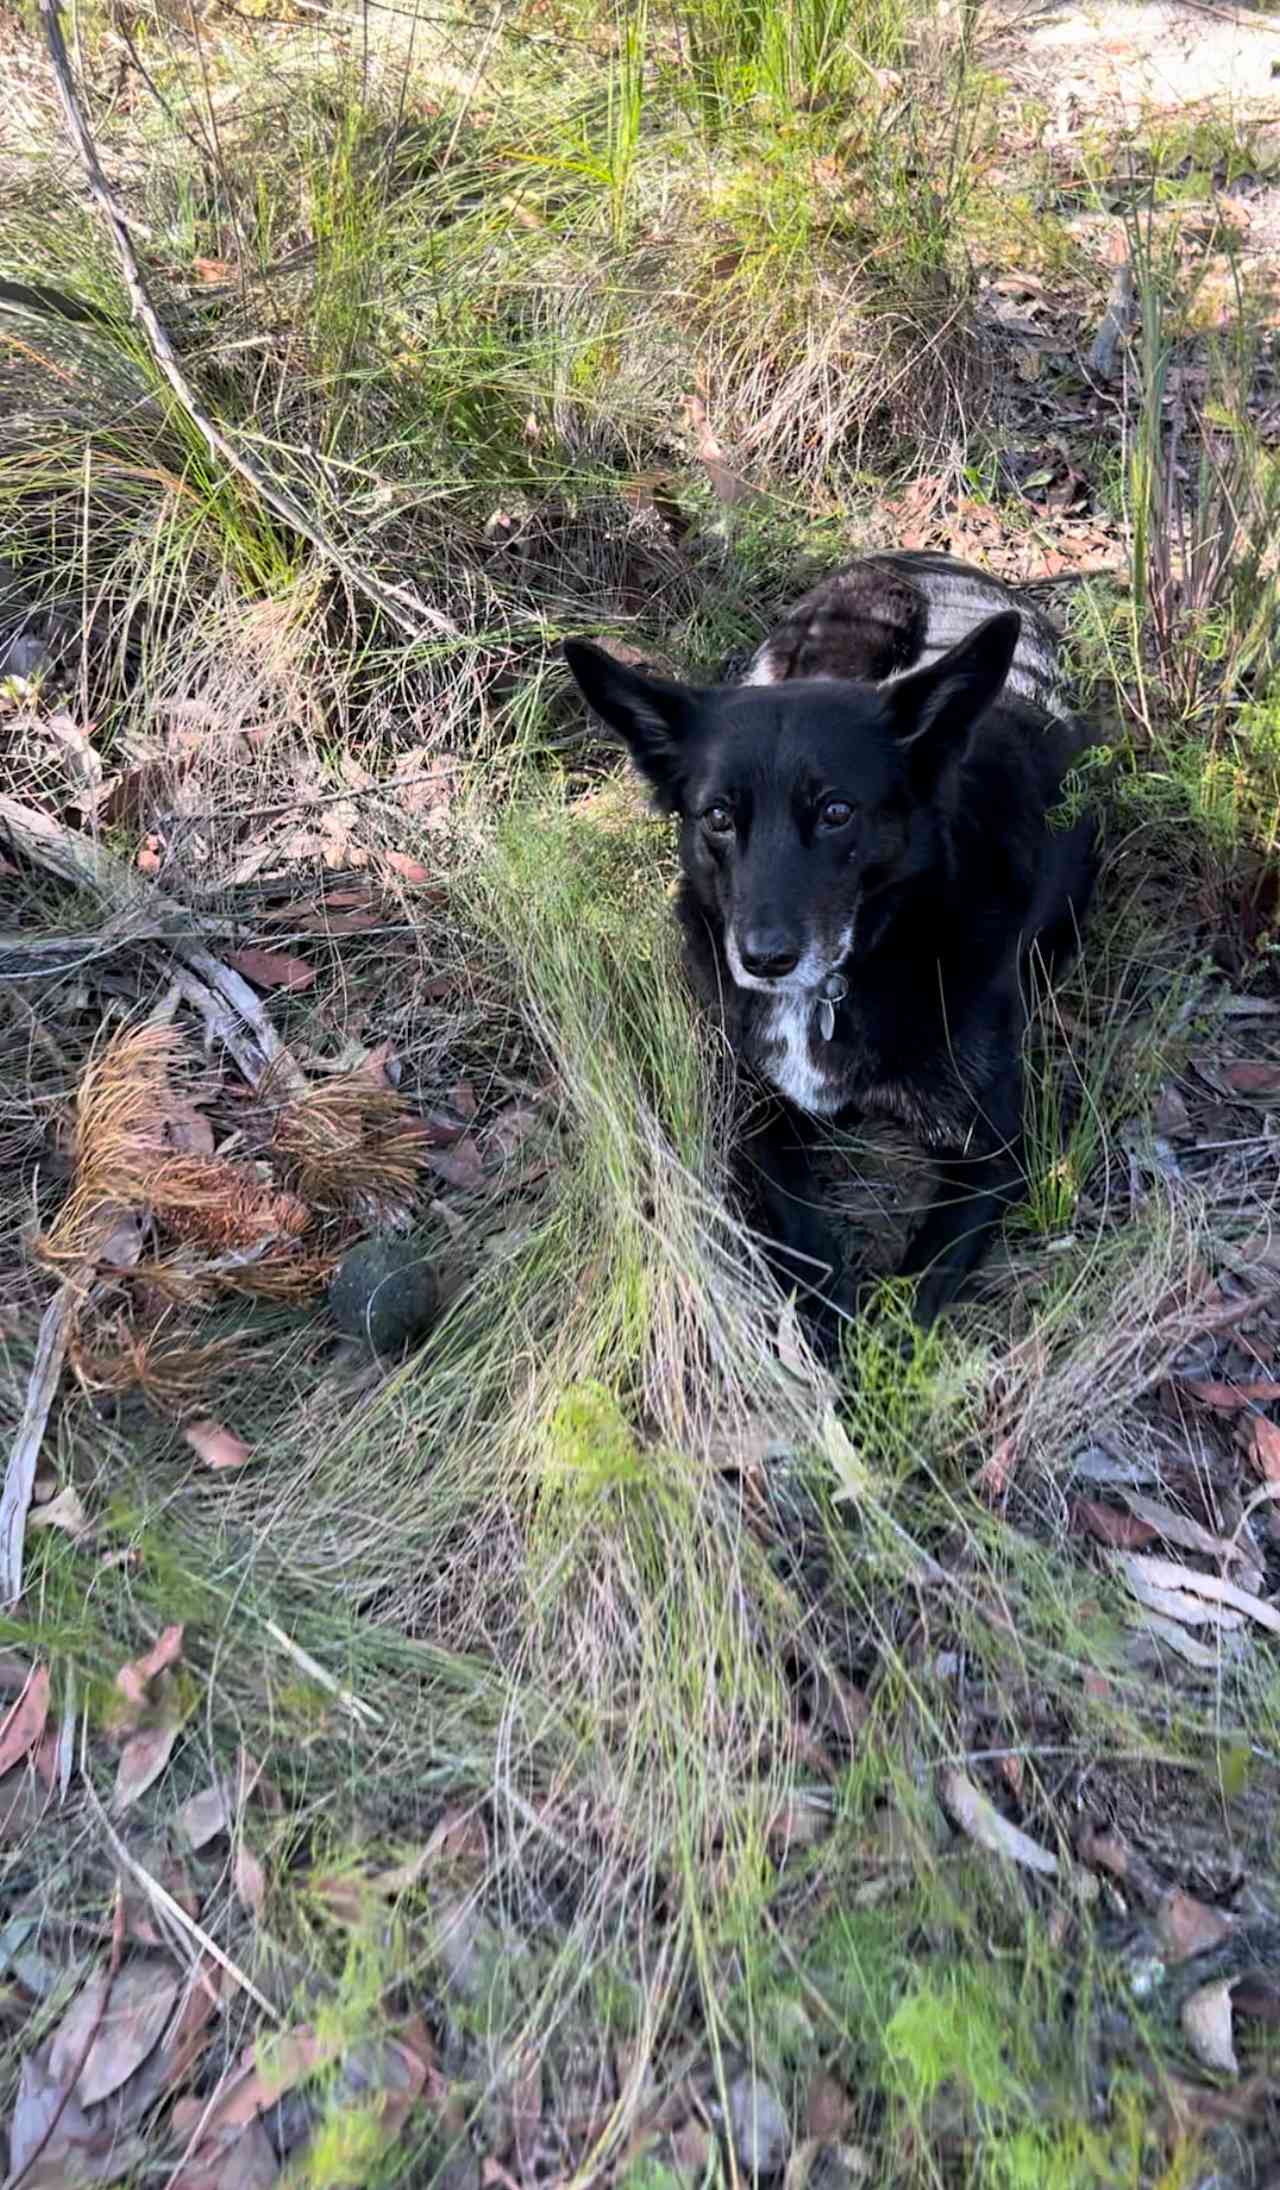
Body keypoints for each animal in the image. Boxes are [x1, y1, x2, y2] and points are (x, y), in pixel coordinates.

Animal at [565, 547, 1095, 1331]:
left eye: (838, 811)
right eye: (717, 816)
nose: (763, 961)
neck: (841, 981)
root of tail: (936, 556)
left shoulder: (993, 1151)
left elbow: (917, 1297)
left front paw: (872, 1355)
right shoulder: (754, 1112)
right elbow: (802, 1235)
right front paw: (825, 1331)